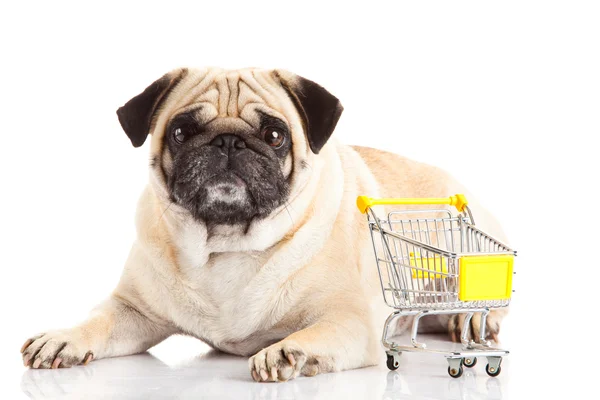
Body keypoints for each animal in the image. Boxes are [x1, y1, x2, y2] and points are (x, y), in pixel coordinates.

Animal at [19, 68, 506, 382]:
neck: (226, 247)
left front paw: (289, 352)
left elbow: (314, 332)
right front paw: (62, 338)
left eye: (274, 135)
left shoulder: (350, 321)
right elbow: (97, 320)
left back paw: (468, 323)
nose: (227, 141)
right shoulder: (134, 310)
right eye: (180, 132)